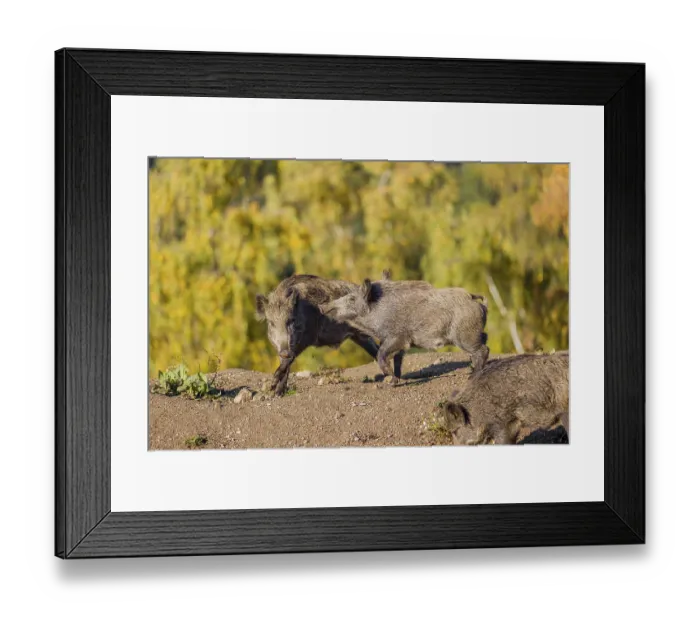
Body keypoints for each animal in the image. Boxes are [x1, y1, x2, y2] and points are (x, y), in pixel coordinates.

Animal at [320, 279, 489, 382]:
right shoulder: (398, 344)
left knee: (483, 349)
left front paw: (390, 380)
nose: (322, 306)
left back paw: (472, 376)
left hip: (465, 336)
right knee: (485, 340)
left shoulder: (398, 337)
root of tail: (475, 299)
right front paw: (397, 379)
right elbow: (397, 359)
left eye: (352, 299)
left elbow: (381, 354)